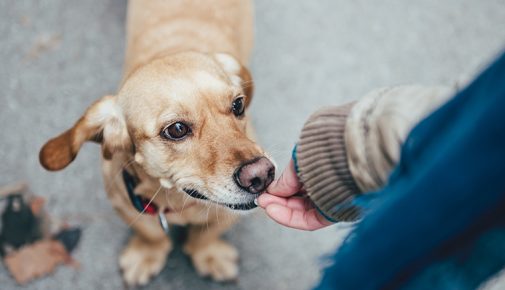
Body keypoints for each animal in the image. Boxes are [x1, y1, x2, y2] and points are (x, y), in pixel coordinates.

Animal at [38, 0, 276, 286]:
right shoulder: (124, 202)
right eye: (176, 129)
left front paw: (208, 254)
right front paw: (147, 253)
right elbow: (151, 233)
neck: (177, 201)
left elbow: (206, 233)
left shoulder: (229, 213)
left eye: (238, 105)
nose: (261, 175)